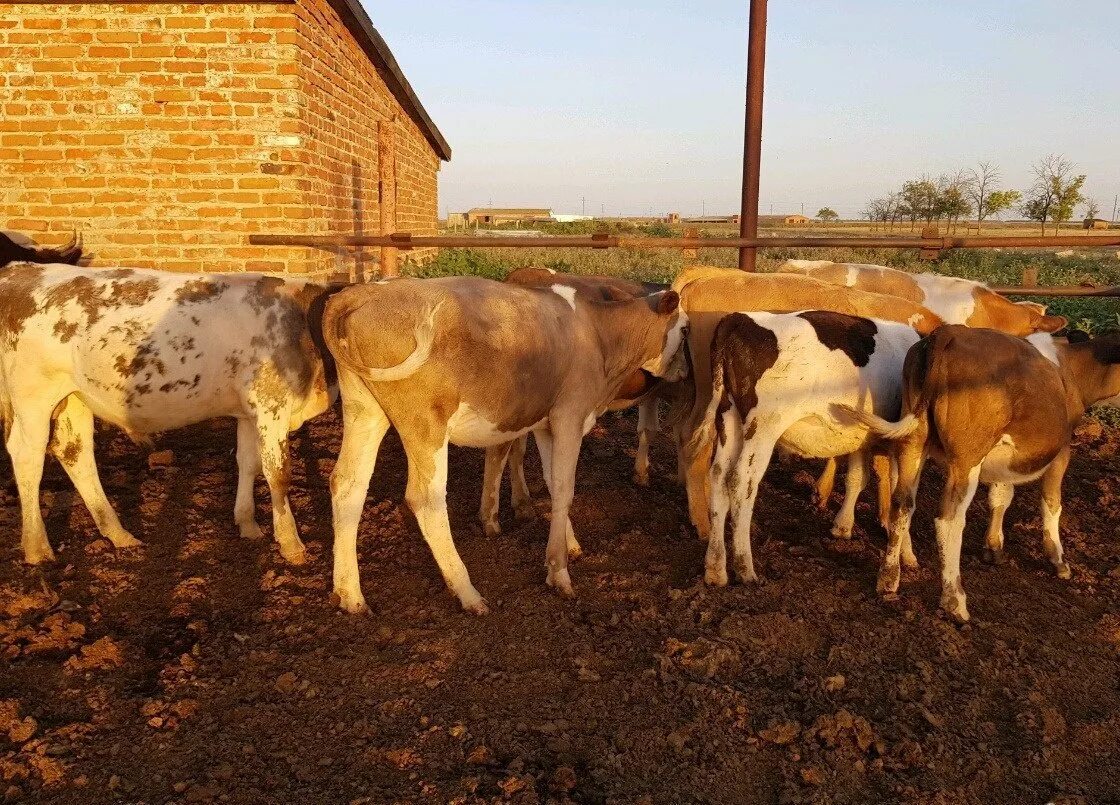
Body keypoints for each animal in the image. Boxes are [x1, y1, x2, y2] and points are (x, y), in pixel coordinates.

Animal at [0, 255, 336, 564]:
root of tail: (22, 270)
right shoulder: (272, 406)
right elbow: (278, 473)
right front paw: (291, 543)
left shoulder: (249, 412)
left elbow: (248, 463)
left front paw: (248, 525)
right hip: (33, 397)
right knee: (27, 456)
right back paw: (37, 548)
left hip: (74, 396)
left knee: (75, 454)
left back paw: (118, 533)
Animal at [320, 274, 685, 613]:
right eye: (684, 330)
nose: (684, 373)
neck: (597, 333)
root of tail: (365, 291)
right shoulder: (570, 414)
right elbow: (565, 487)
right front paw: (559, 572)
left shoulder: (546, 423)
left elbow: (554, 484)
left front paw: (569, 544)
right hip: (424, 423)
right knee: (426, 500)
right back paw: (468, 592)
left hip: (365, 410)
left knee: (347, 485)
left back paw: (350, 594)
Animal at [672, 268, 945, 541]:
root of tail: (708, 278)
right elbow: (883, 469)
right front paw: (887, 519)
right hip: (720, 403)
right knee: (699, 446)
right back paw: (703, 522)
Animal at [842, 326, 1120, 622]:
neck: (1071, 369)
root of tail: (949, 332)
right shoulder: (1061, 451)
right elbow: (1052, 503)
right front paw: (1058, 560)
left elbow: (1001, 496)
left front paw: (993, 546)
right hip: (966, 458)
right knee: (949, 520)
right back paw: (954, 601)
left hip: (914, 441)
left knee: (902, 504)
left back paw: (888, 579)